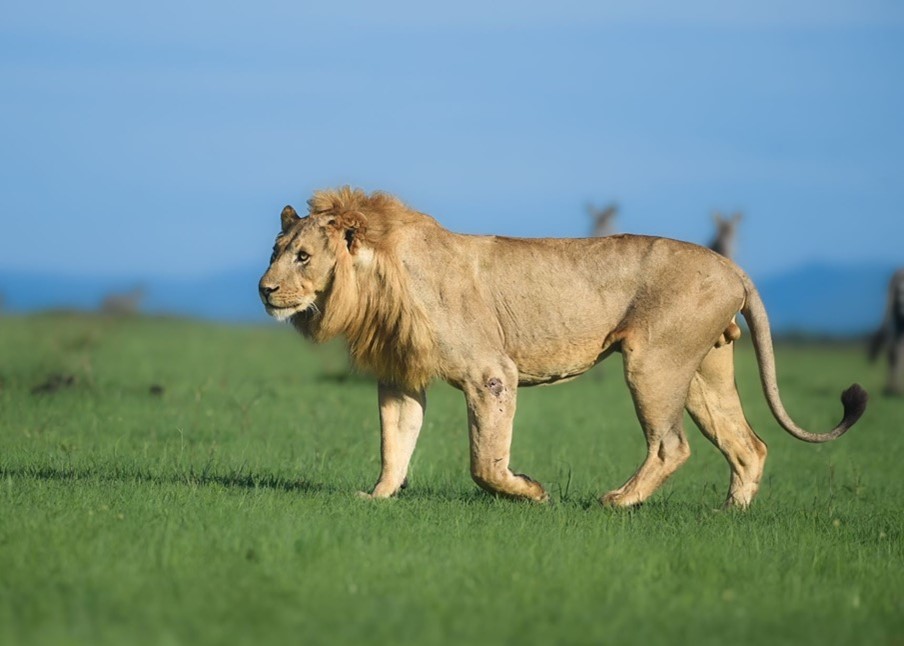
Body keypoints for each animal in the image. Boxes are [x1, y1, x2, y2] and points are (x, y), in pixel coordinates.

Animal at [258, 187, 867, 508]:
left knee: (672, 446)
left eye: (304, 256)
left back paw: (619, 502)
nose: (264, 289)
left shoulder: (491, 372)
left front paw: (529, 491)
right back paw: (729, 516)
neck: (375, 280)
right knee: (749, 445)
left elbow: (484, 460)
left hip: (652, 363)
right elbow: (395, 441)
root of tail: (731, 265)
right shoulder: (402, 375)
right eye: (275, 250)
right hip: (702, 372)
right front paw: (378, 497)